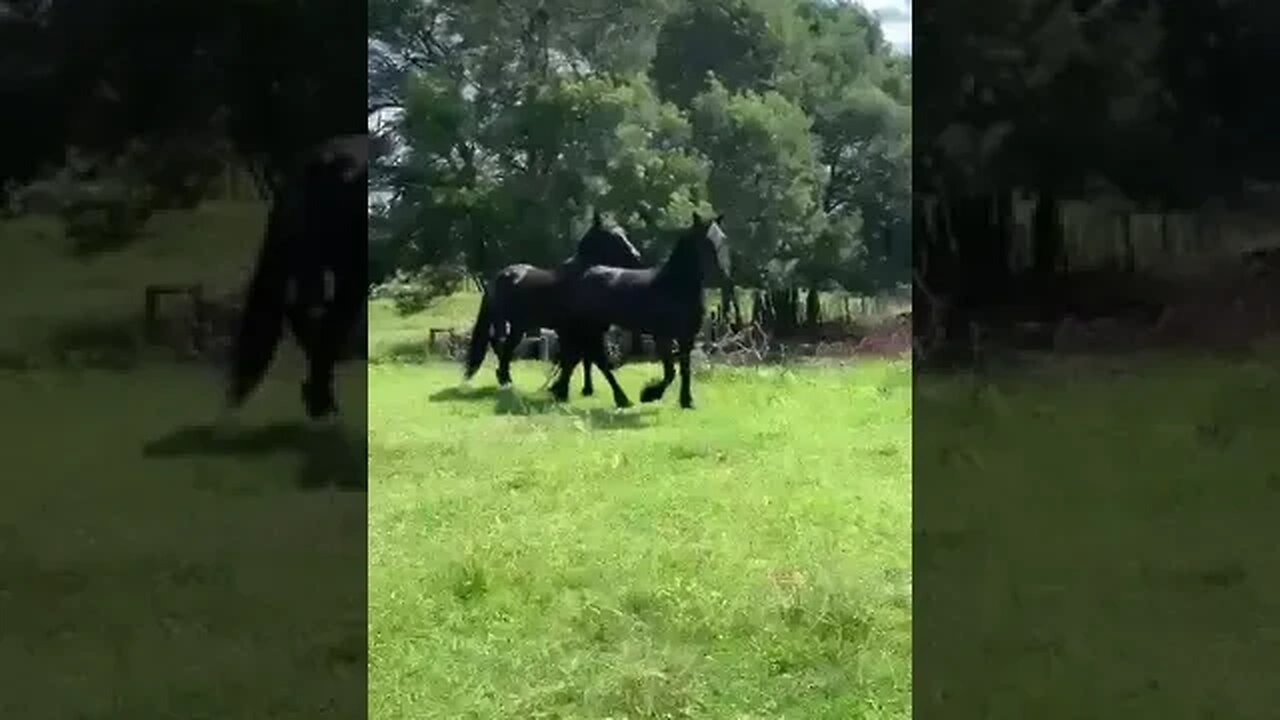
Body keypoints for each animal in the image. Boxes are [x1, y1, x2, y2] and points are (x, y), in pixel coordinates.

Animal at [460, 210, 645, 394]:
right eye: (614, 236)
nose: (636, 257)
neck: (581, 278)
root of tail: (499, 276)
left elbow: (582, 359)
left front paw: (584, 389)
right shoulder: (572, 330)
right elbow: (575, 357)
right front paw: (562, 387)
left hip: (519, 325)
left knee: (505, 346)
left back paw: (506, 380)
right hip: (504, 321)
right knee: (500, 344)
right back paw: (505, 379)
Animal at [550, 210, 732, 407]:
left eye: (723, 238)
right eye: (706, 241)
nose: (723, 273)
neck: (674, 286)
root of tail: (587, 272)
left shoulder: (686, 337)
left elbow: (685, 370)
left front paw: (686, 401)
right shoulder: (663, 336)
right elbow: (670, 372)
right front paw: (650, 394)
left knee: (580, 357)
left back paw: (564, 391)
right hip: (591, 328)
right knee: (591, 359)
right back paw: (618, 398)